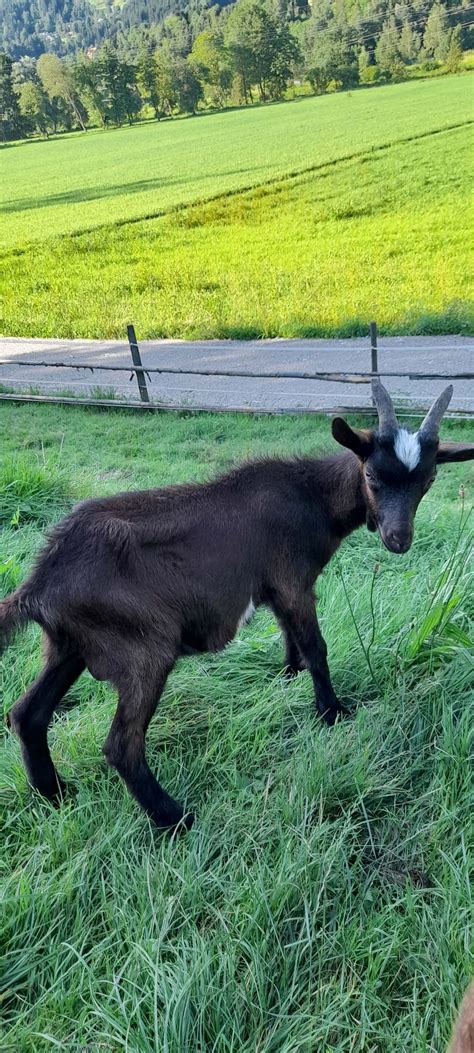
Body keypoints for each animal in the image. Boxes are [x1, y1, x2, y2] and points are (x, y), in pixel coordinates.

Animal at [1, 381, 471, 829]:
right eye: (372, 475)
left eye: (428, 482)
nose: (398, 539)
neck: (312, 496)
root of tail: (40, 582)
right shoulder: (292, 580)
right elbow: (315, 647)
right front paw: (333, 712)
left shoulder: (275, 589)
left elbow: (291, 639)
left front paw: (287, 680)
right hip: (142, 646)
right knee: (121, 745)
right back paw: (175, 819)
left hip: (70, 644)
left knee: (27, 715)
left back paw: (57, 795)